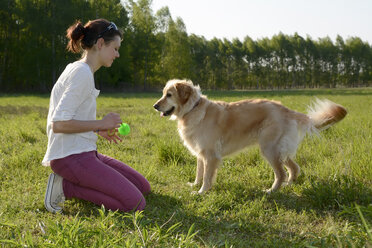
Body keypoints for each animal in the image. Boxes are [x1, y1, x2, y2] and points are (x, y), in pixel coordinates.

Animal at [153, 79, 348, 194]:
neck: (193, 109)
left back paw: (271, 191)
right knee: (294, 168)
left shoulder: (210, 155)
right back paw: (288, 185)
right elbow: (199, 173)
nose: (155, 106)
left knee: (281, 173)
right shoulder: (201, 154)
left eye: (169, 95)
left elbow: (207, 176)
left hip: (269, 149)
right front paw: (194, 185)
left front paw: (202, 192)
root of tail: (287, 110)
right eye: (163, 93)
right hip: (280, 150)